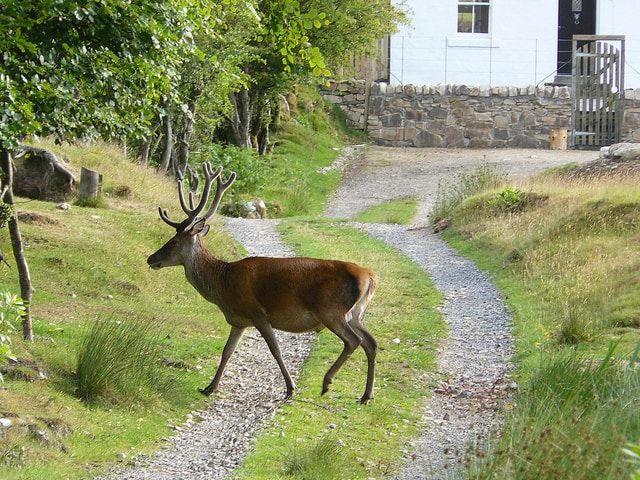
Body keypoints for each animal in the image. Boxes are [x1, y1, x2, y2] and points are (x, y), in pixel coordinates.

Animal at [147, 163, 378, 404]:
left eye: (174, 241)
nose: (151, 259)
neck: (223, 286)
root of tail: (369, 276)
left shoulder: (257, 312)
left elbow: (275, 349)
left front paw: (290, 388)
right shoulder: (239, 320)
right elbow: (227, 351)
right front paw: (210, 387)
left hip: (331, 310)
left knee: (353, 341)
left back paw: (327, 382)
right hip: (356, 314)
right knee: (371, 343)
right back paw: (366, 395)